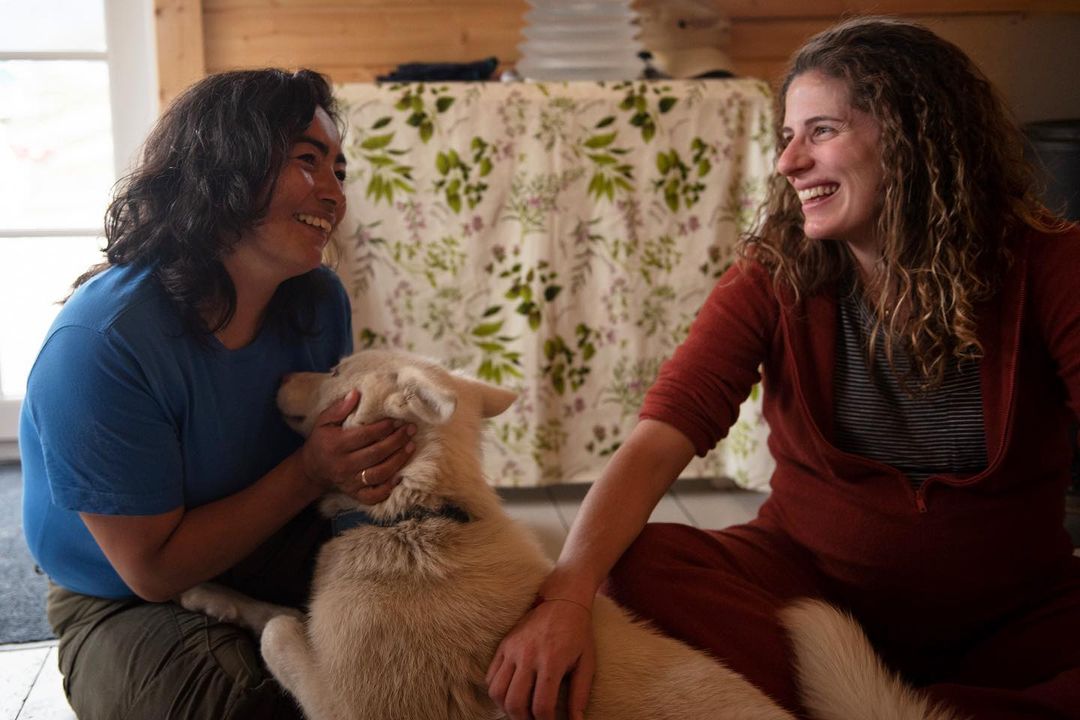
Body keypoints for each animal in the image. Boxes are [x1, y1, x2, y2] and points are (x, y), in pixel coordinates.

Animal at [180, 348, 965, 720]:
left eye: (338, 368)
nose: (278, 375)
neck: (420, 517)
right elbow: (269, 610)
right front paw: (207, 591)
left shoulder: (339, 701)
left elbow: (281, 630)